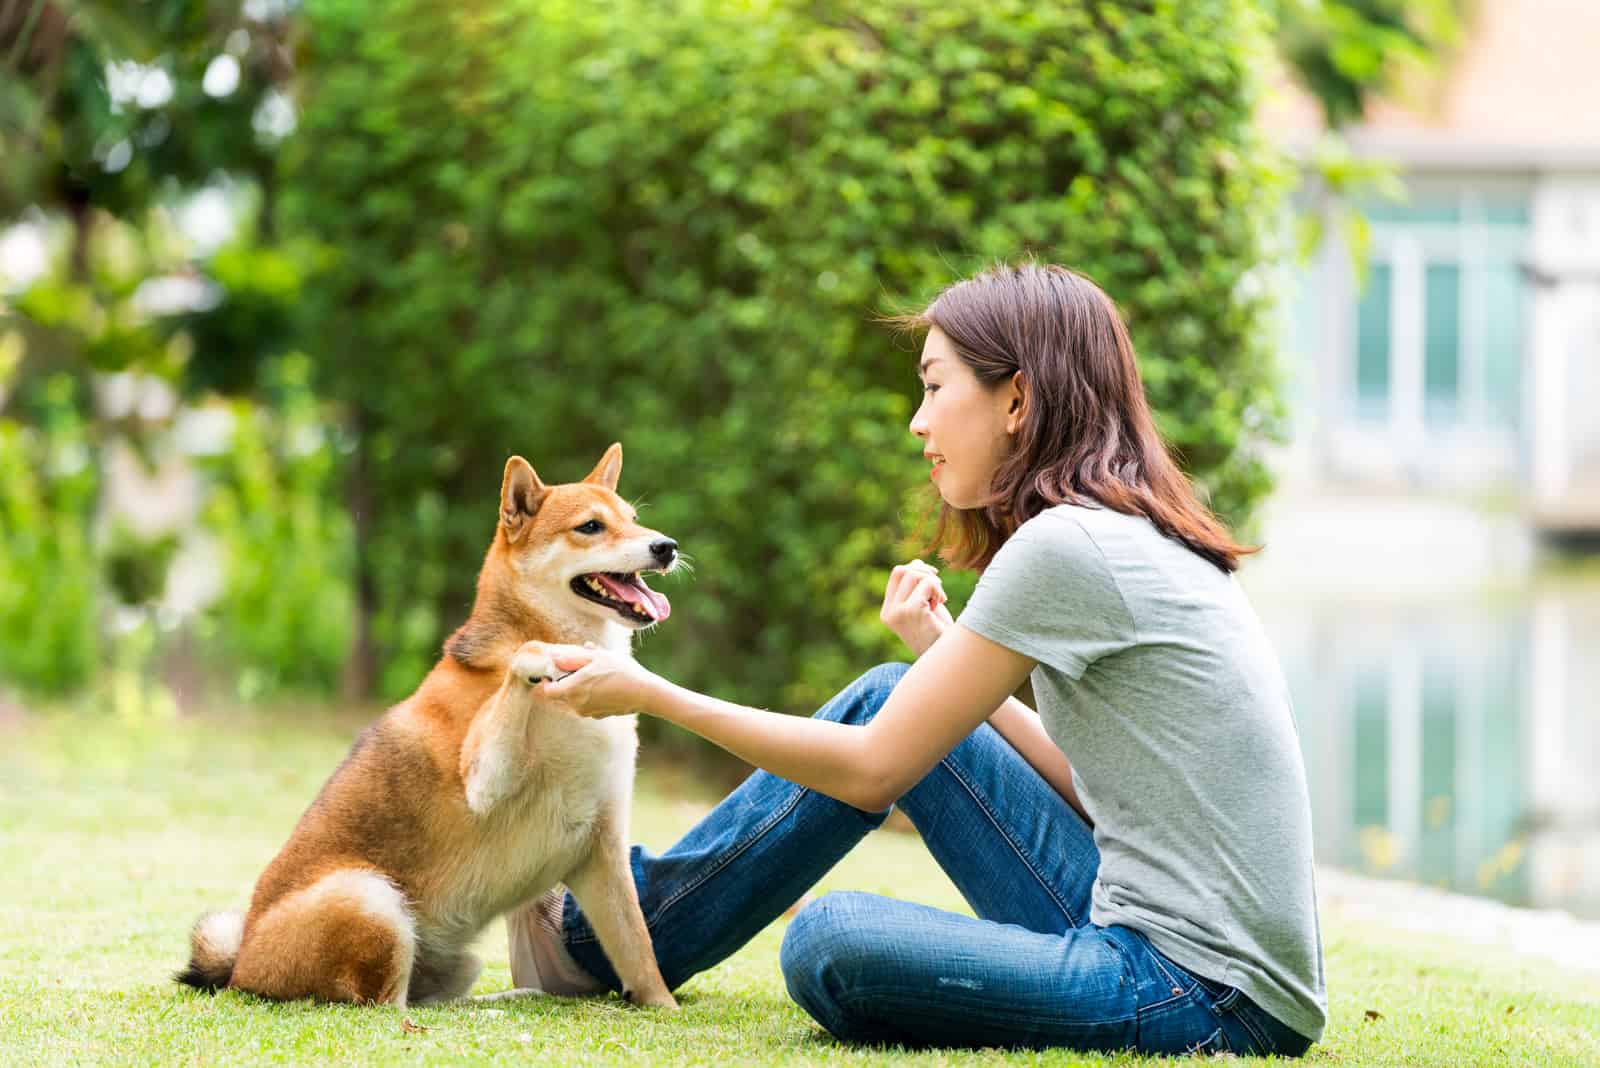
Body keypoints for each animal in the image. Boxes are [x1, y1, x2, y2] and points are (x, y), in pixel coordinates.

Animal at [180, 444, 681, 1010]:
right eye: (591, 526)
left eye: (633, 519)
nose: (666, 547)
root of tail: (242, 965)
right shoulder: (483, 785)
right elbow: (524, 666)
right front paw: (537, 660)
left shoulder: (603, 849)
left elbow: (639, 950)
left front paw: (664, 1008)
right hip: (372, 899)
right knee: (388, 1009)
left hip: (455, 961)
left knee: (432, 1003)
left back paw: (508, 998)